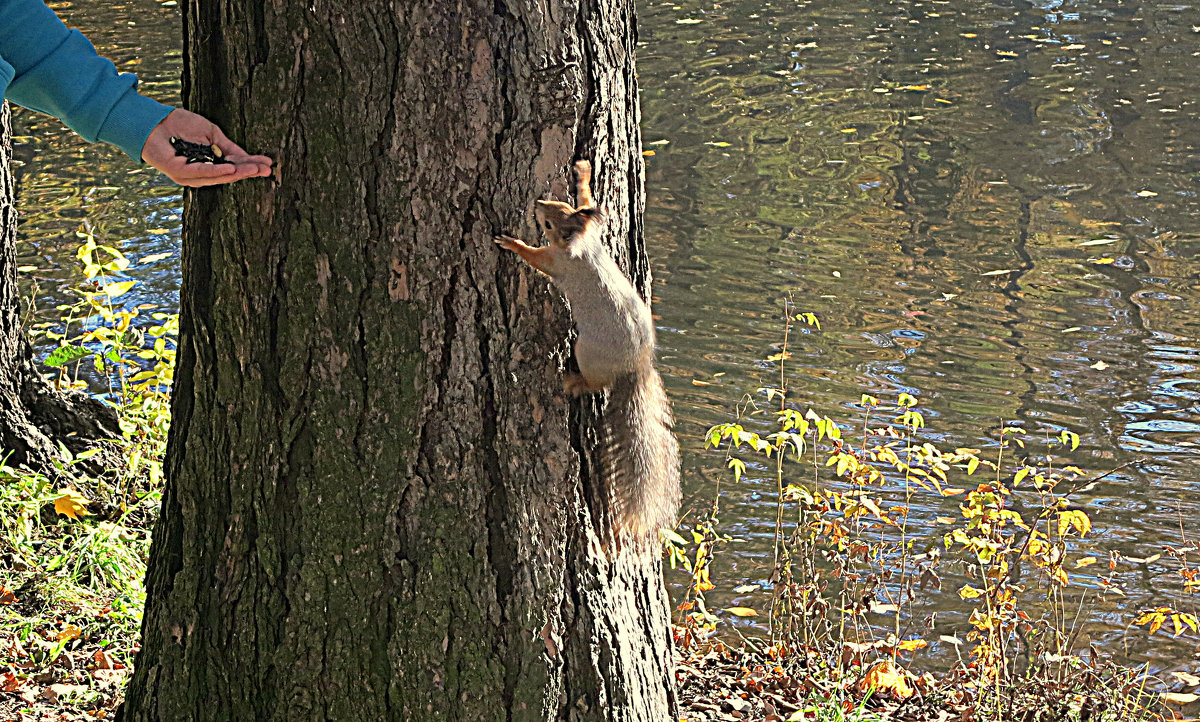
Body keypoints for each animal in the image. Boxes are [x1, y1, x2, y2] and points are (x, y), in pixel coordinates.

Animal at [496, 160, 686, 542]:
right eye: (559, 205)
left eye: (550, 224)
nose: (538, 203)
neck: (581, 245)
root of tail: (636, 366)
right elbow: (592, 200)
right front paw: (583, 174)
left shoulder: (558, 264)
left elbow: (537, 259)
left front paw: (513, 243)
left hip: (587, 352)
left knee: (597, 383)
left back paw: (574, 383)